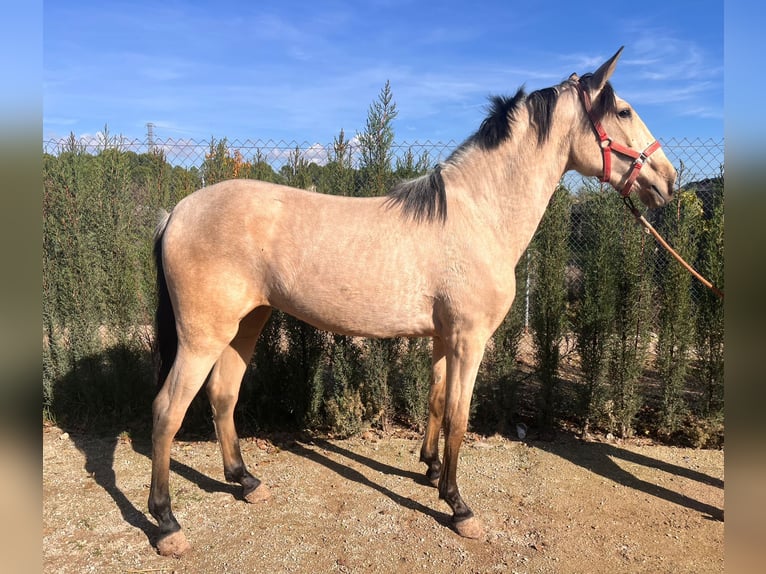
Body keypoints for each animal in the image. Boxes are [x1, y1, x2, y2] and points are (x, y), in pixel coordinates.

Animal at [147, 46, 676, 560]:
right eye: (624, 111)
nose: (669, 179)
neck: (478, 214)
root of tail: (176, 212)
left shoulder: (444, 338)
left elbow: (437, 401)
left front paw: (430, 470)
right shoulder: (468, 340)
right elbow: (460, 416)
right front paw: (459, 507)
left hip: (248, 323)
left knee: (223, 395)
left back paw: (246, 482)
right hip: (203, 336)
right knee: (168, 411)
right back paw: (168, 524)